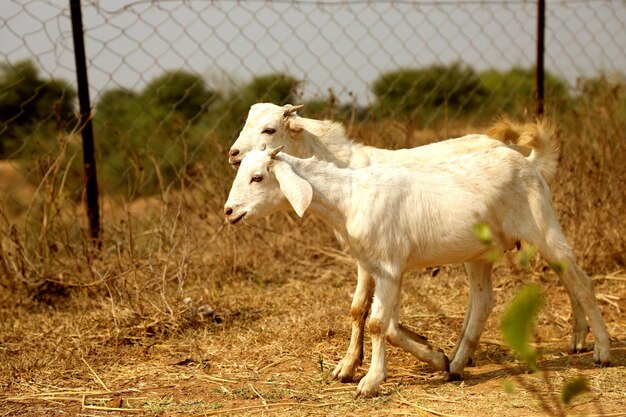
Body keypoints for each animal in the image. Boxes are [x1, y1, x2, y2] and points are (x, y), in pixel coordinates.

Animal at [225, 103, 600, 380]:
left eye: (269, 129)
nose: (233, 153)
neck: (345, 168)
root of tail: (526, 158)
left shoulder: (382, 260)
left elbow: (375, 317)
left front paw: (385, 361)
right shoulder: (366, 258)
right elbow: (360, 309)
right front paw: (350, 365)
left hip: (536, 230)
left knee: (569, 276)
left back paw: (588, 343)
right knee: (489, 297)